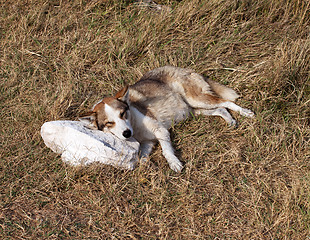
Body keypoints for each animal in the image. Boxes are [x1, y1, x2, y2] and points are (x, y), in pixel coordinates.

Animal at [79, 65, 254, 172]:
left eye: (122, 114)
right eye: (109, 123)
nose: (127, 134)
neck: (135, 127)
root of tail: (182, 68)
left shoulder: (160, 131)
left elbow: (166, 150)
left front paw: (174, 163)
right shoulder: (148, 143)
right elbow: (142, 157)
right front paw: (147, 166)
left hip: (197, 100)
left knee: (227, 102)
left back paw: (246, 113)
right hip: (195, 110)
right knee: (221, 108)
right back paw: (230, 120)